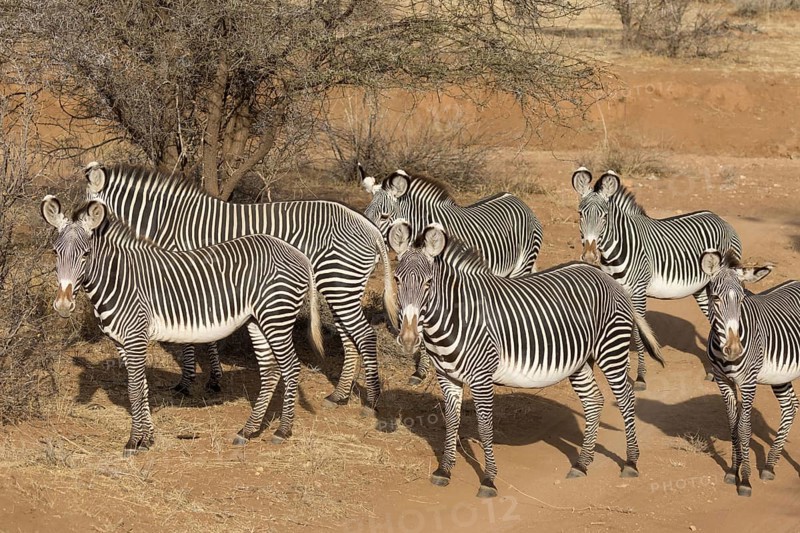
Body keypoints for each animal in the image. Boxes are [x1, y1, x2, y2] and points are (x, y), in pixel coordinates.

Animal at [41, 196, 323, 455]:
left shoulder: (136, 337)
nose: (63, 305)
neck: (118, 280)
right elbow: (143, 387)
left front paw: (133, 442)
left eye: (86, 254)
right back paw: (248, 430)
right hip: (258, 320)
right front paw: (147, 439)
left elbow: (134, 389)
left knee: (291, 367)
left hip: (277, 316)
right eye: (55, 253)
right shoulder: (121, 342)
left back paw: (282, 431)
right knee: (271, 371)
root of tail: (295, 252)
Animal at [83, 162, 397, 414]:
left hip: (339, 282)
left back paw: (372, 402)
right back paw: (340, 394)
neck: (169, 222)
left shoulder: (187, 277)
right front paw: (213, 377)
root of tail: (369, 225)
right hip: (341, 286)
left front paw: (188, 382)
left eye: (87, 210)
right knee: (349, 336)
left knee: (364, 336)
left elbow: (191, 338)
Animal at [388, 220, 664, 498]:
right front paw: (444, 471)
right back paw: (582, 464)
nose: (409, 339)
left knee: (626, 399)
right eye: (397, 280)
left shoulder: (481, 377)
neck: (455, 317)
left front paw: (488, 479)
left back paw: (630, 462)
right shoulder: (447, 377)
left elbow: (484, 426)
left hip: (611, 349)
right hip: (580, 361)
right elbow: (452, 422)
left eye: (428, 283)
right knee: (594, 401)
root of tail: (605, 276)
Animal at [572, 168, 742, 390]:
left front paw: (640, 377)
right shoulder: (617, 292)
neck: (617, 248)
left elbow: (639, 334)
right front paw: (624, 368)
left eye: (604, 216)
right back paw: (713, 373)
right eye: (580, 214)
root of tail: (720, 219)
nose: (590, 256)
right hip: (703, 289)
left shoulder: (638, 292)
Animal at [701, 250, 799, 497]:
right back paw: (770, 465)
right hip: (780, 375)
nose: (734, 349)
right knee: (790, 407)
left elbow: (744, 428)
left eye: (742, 299)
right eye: (715, 298)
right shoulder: (723, 381)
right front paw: (732, 471)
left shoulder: (749, 382)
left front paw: (745, 480)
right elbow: (732, 425)